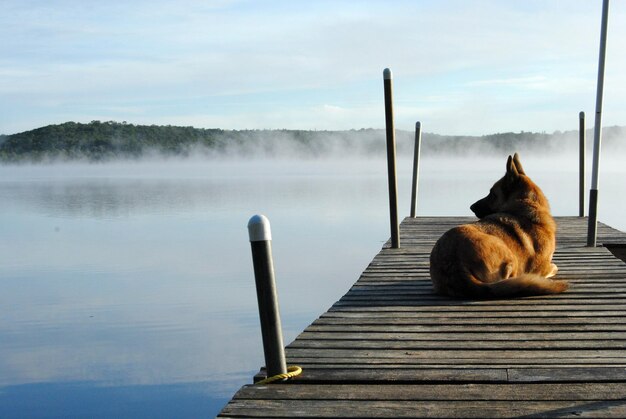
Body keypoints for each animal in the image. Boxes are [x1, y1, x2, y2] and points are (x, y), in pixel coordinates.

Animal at [428, 154, 564, 298]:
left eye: (492, 194)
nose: (471, 207)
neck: (525, 204)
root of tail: (457, 266)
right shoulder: (543, 267)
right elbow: (554, 267)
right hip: (509, 258)